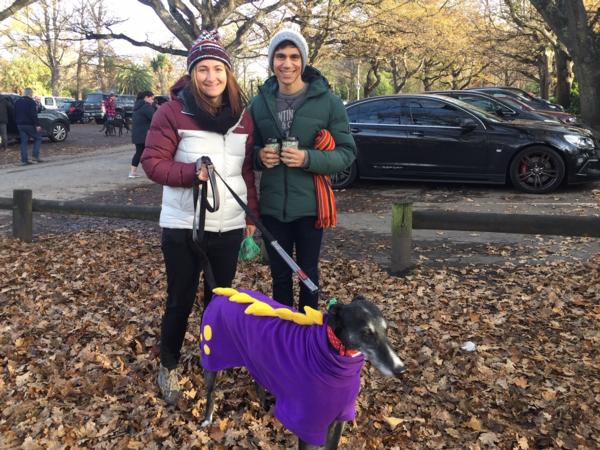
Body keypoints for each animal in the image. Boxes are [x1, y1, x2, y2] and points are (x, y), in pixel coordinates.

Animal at [199, 288, 406, 450]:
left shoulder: (340, 419)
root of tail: (220, 294)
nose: (401, 370)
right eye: (366, 333)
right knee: (211, 392)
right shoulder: (308, 425)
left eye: (386, 330)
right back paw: (207, 418)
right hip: (211, 356)